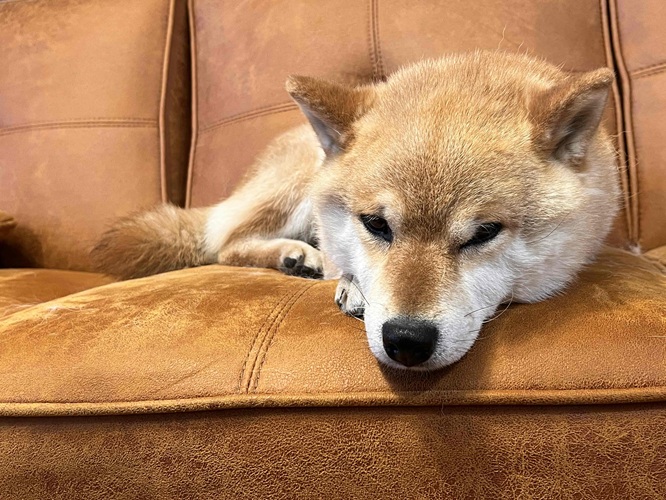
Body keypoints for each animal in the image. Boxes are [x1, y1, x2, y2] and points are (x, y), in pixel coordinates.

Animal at [92, 51, 619, 371]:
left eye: (484, 232)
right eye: (376, 225)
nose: (406, 339)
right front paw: (350, 282)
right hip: (296, 178)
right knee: (225, 243)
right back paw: (294, 255)